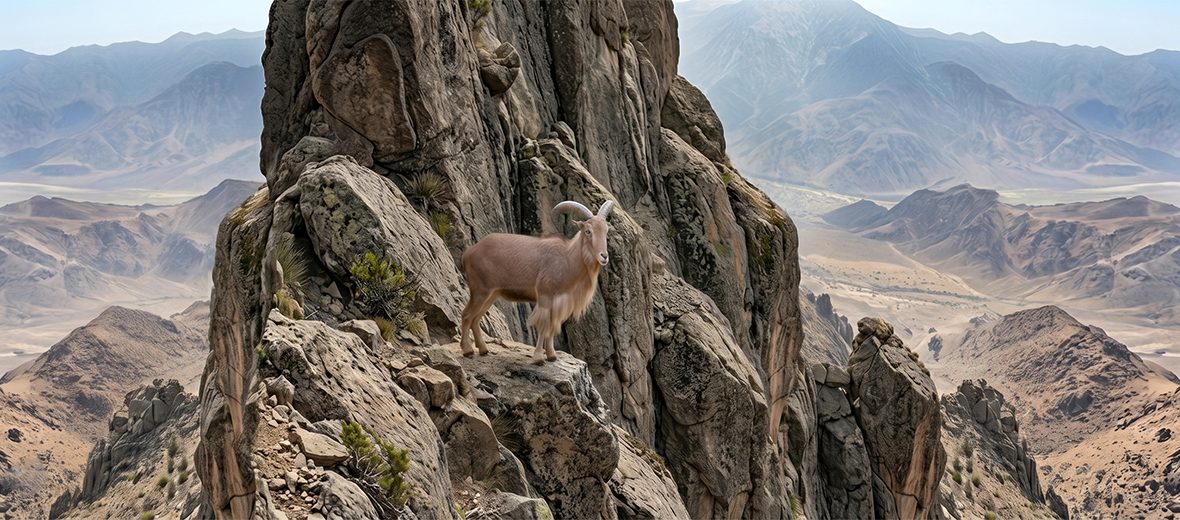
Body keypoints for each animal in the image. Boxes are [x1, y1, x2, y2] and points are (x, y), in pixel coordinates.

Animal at [458, 200, 615, 362]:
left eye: (606, 231)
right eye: (588, 231)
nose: (604, 256)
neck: (567, 258)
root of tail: (468, 253)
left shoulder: (557, 302)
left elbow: (552, 326)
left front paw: (551, 355)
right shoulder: (545, 295)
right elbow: (544, 325)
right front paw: (539, 357)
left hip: (491, 295)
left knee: (476, 318)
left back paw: (483, 350)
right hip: (479, 291)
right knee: (467, 315)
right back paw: (468, 350)